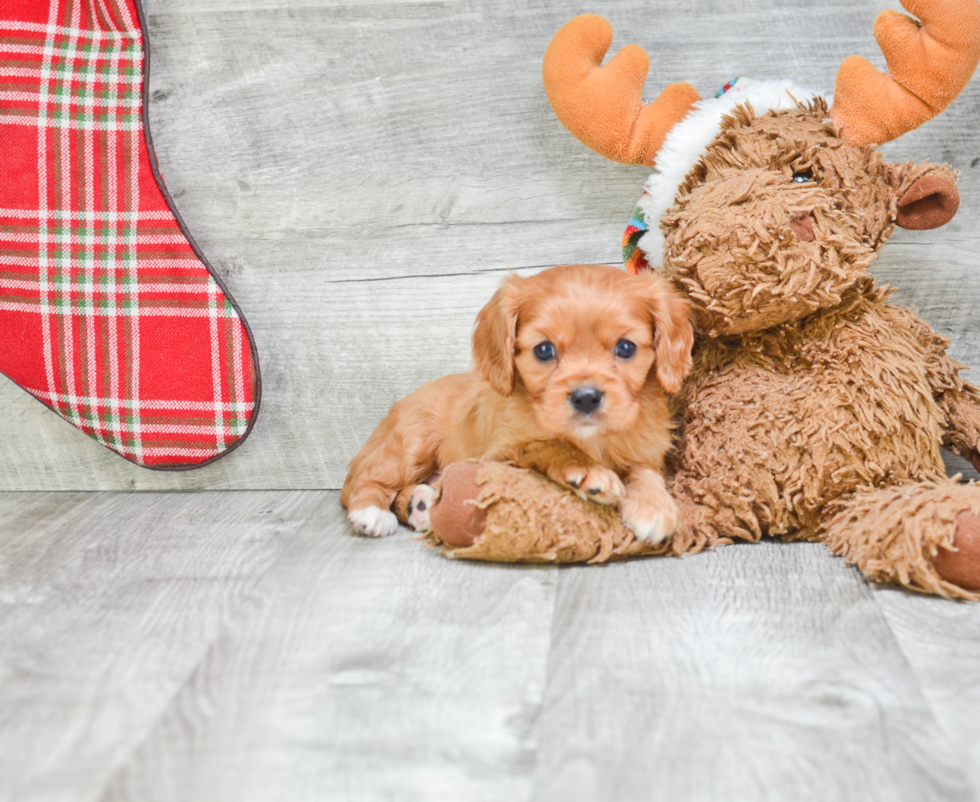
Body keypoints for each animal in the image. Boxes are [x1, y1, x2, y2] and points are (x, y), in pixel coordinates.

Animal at [340, 266, 692, 540]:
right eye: (544, 350)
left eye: (626, 347)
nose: (586, 397)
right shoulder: (498, 456)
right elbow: (547, 445)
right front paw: (587, 471)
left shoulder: (647, 449)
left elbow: (645, 471)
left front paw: (653, 506)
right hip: (410, 442)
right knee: (363, 482)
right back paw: (373, 513)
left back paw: (422, 505)